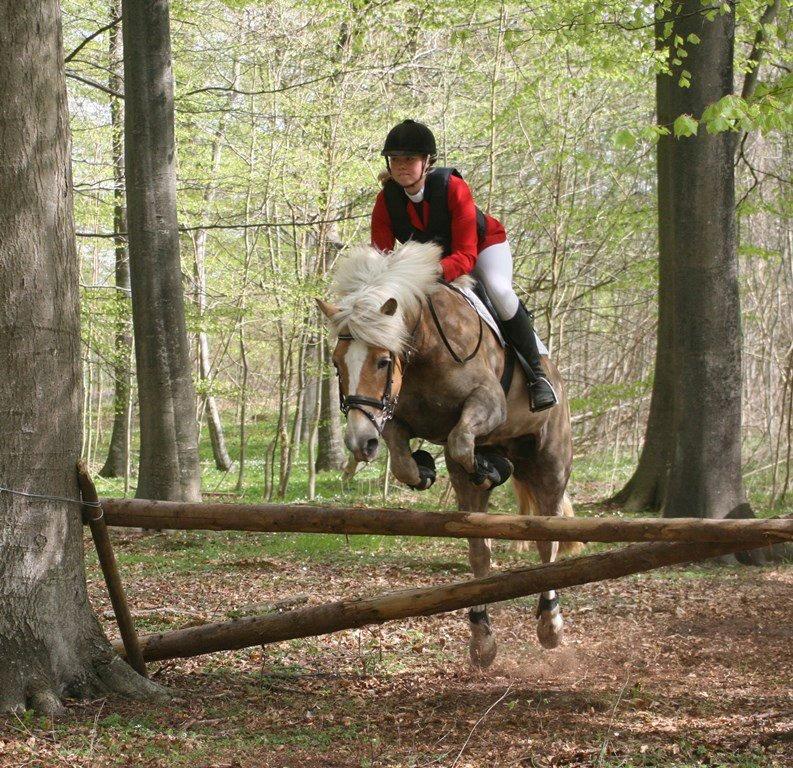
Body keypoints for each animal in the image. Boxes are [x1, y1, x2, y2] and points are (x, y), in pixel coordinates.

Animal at [318, 240, 580, 664]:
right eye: (337, 363)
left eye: (383, 360)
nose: (360, 443)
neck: (425, 348)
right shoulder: (394, 417)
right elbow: (406, 462)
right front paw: (426, 467)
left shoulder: (488, 402)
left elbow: (458, 441)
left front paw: (491, 467)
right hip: (477, 483)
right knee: (479, 549)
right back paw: (482, 638)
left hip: (550, 465)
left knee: (547, 539)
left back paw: (550, 624)